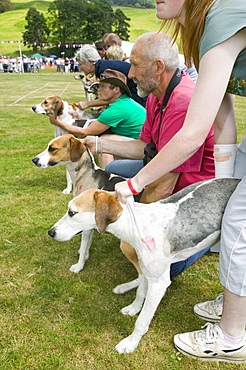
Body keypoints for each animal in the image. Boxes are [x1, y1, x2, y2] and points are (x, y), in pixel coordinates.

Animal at [48, 178, 240, 354]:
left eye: (72, 212)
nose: (51, 232)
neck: (135, 224)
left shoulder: (159, 283)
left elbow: (142, 321)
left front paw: (131, 342)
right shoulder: (147, 271)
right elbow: (141, 291)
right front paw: (134, 308)